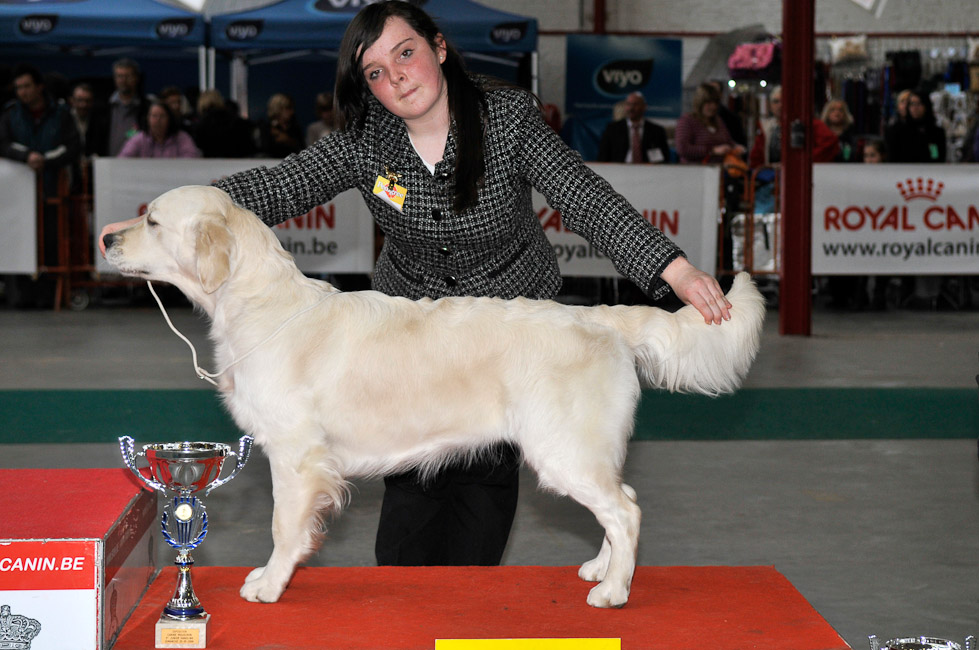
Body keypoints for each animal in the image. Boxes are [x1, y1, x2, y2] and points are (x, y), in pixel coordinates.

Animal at [105, 184, 764, 608]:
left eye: (153, 221)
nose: (107, 237)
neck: (259, 303)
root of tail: (602, 318)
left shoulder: (297, 456)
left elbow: (283, 527)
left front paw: (269, 584)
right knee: (620, 502)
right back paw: (600, 568)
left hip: (563, 449)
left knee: (625, 511)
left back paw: (614, 590)